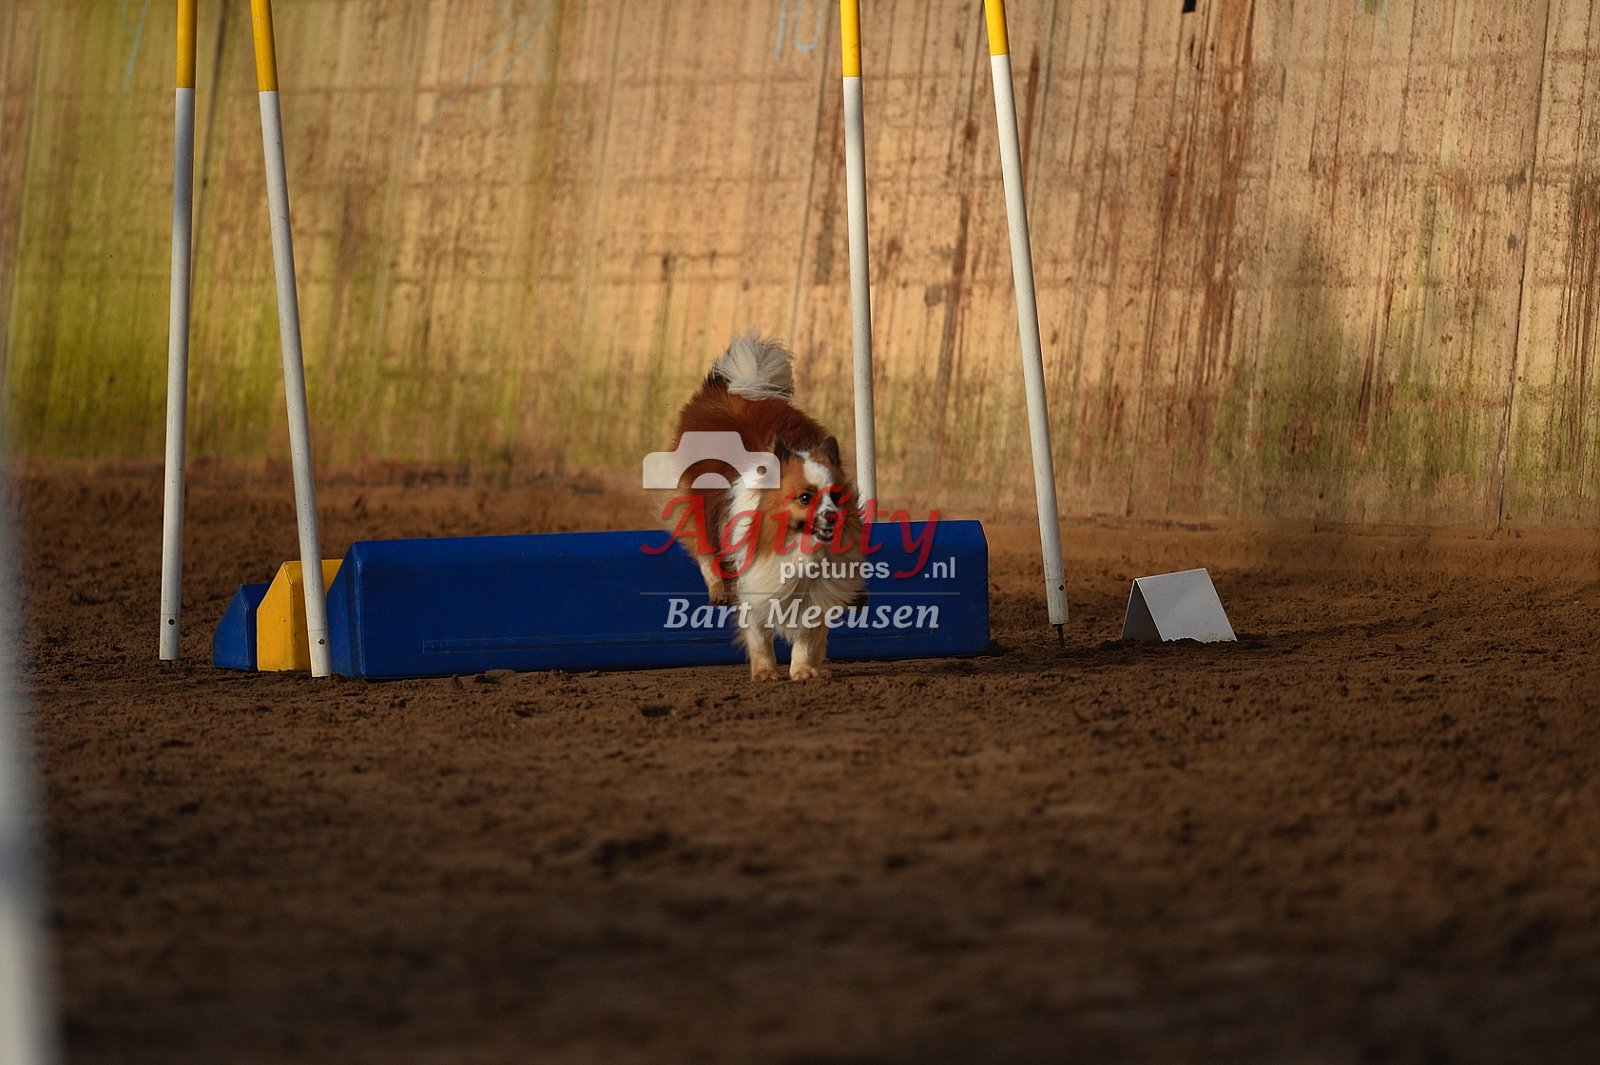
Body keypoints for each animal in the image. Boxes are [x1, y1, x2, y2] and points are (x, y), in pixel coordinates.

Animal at [660, 333, 865, 681]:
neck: (799, 549)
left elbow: (809, 635)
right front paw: (766, 673)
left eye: (836, 497)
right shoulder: (754, 582)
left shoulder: (817, 589)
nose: (833, 518)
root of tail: (733, 389)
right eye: (805, 498)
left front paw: (804, 670)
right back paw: (718, 588)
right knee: (704, 549)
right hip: (698, 503)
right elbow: (757, 632)